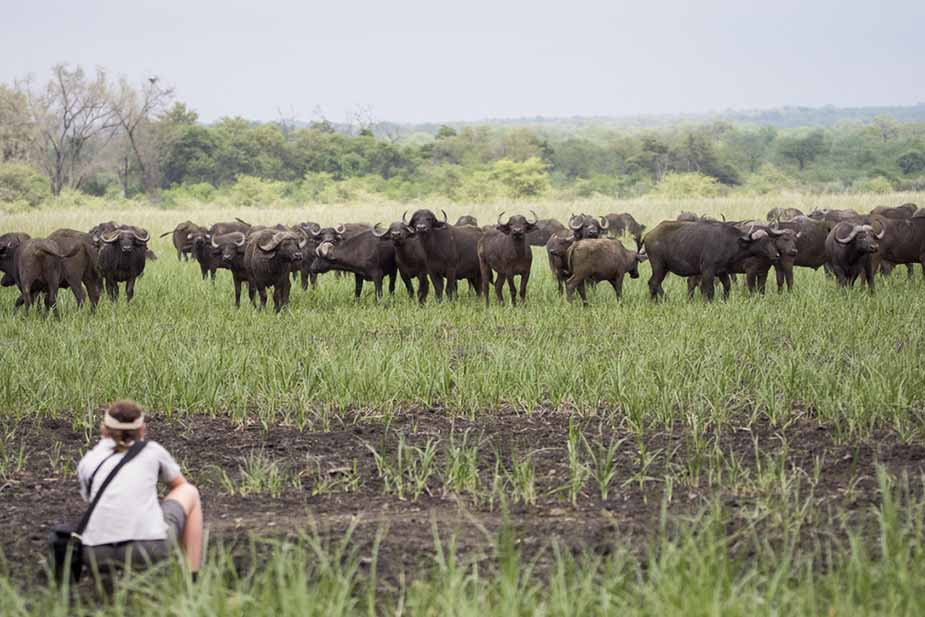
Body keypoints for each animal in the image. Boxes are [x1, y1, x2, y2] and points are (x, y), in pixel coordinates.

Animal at [648, 221, 784, 300]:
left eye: (771, 240)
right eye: (762, 242)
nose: (777, 255)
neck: (728, 242)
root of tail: (648, 235)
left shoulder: (722, 271)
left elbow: (727, 286)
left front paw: (724, 300)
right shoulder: (708, 270)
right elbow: (709, 290)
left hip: (664, 268)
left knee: (654, 283)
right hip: (659, 266)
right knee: (654, 283)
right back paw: (660, 301)